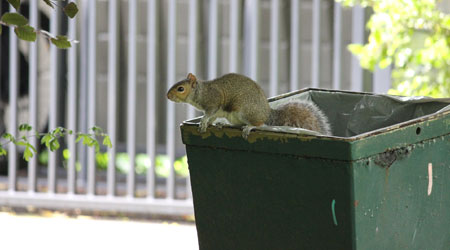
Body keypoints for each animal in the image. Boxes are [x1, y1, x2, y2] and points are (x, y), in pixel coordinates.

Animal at [167, 73, 332, 139]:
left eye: (180, 88)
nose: (167, 96)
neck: (201, 92)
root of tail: (267, 113)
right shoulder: (216, 110)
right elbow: (212, 117)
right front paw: (209, 123)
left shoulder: (213, 101)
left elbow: (209, 114)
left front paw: (203, 122)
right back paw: (224, 124)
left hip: (245, 111)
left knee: (259, 124)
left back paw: (249, 127)